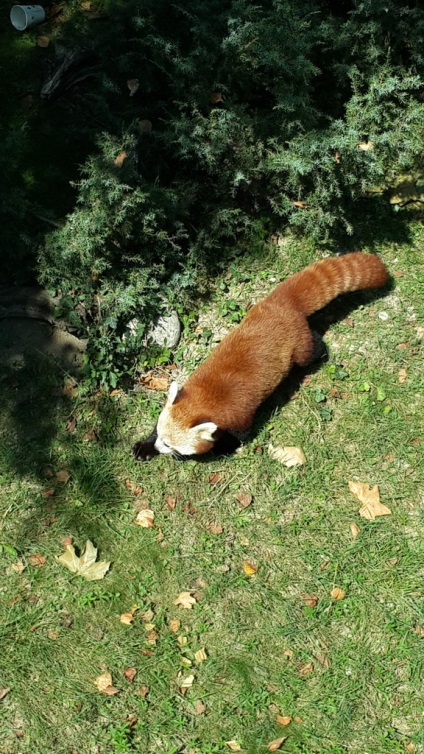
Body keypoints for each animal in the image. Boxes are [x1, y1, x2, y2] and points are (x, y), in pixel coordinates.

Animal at [132, 254, 388, 458]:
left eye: (169, 445)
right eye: (160, 435)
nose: (159, 447)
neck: (204, 399)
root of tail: (279, 304)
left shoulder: (238, 416)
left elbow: (239, 436)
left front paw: (222, 449)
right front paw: (144, 446)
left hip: (299, 347)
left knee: (311, 352)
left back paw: (321, 351)